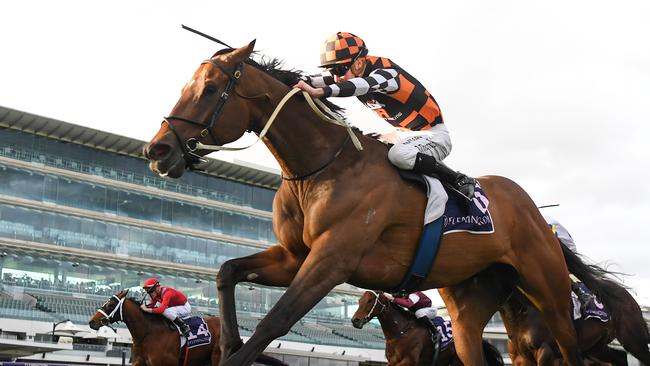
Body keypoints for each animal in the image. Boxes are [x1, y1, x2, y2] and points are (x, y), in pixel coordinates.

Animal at [350, 292, 502, 366]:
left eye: (370, 300)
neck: (400, 332)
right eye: (359, 301)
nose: (355, 320)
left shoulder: (410, 361)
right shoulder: (392, 362)